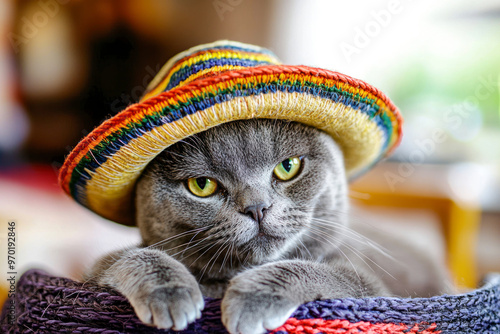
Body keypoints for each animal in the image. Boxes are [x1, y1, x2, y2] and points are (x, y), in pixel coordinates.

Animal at [87, 118, 454, 334]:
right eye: (202, 185)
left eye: (288, 167)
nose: (256, 207)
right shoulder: (96, 270)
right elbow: (130, 257)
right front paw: (169, 292)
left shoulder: (373, 291)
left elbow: (320, 271)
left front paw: (254, 296)